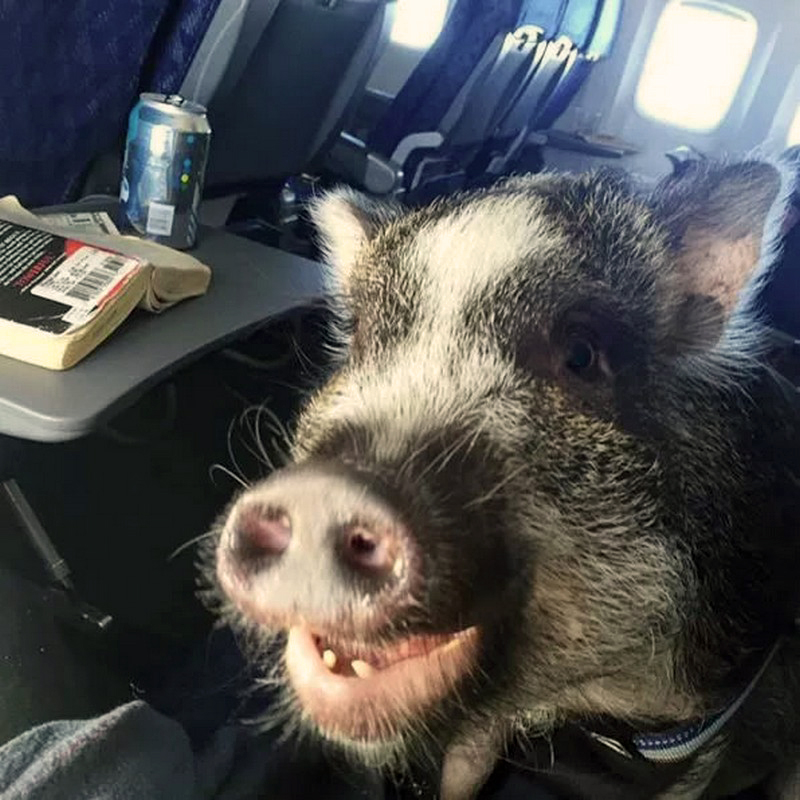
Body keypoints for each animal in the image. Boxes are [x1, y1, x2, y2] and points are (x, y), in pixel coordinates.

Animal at [203, 158, 800, 800]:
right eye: (363, 337)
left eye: (582, 355)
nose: (324, 492)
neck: (561, 699)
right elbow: (465, 767)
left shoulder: (695, 732)